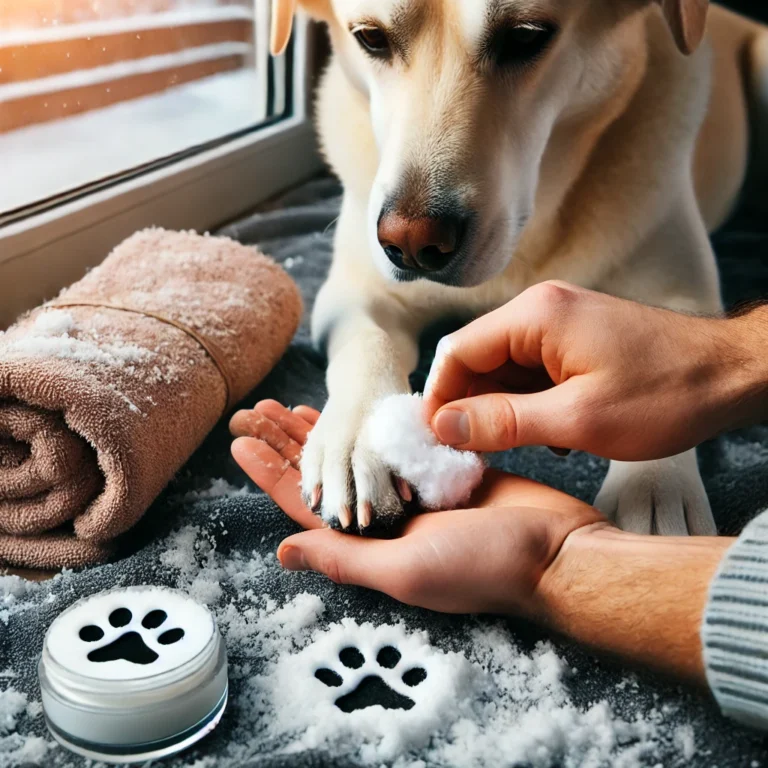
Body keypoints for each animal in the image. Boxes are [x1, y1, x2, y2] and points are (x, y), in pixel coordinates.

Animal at [268, 0, 768, 536]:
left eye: (526, 37)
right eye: (371, 38)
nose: (412, 244)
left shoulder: (681, 294)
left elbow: (660, 357)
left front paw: (655, 491)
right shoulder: (355, 294)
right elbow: (368, 340)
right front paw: (362, 435)